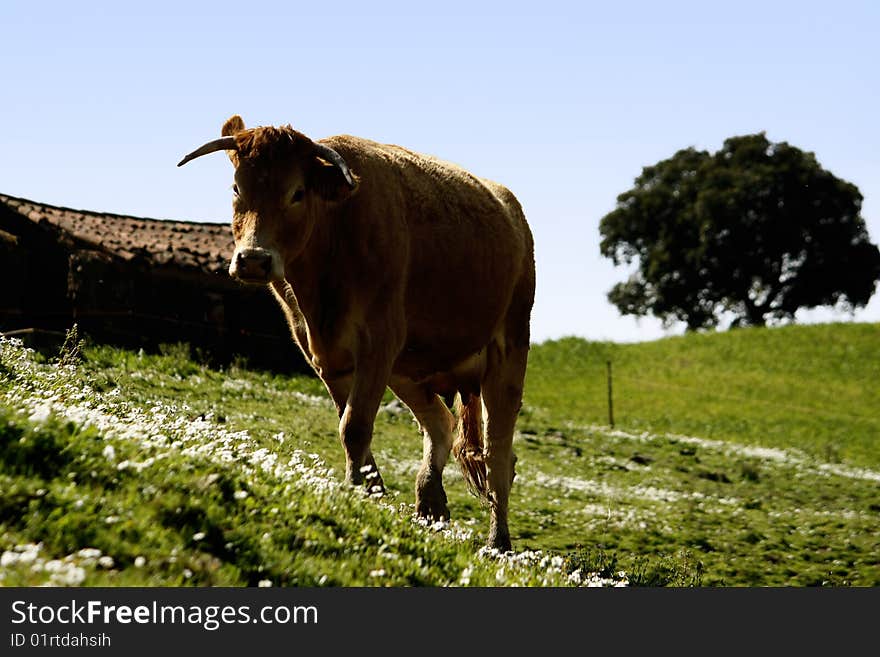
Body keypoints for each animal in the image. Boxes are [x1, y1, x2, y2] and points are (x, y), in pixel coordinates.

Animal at [180, 116, 536, 548]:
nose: (253, 260)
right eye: (237, 188)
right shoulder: (328, 357)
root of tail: (509, 207)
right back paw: (430, 504)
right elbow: (351, 426)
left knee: (499, 454)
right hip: (408, 368)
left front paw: (355, 492)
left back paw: (498, 540)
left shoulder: (377, 342)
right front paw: (371, 491)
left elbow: (354, 426)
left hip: (508, 349)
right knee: (439, 422)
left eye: (297, 193)